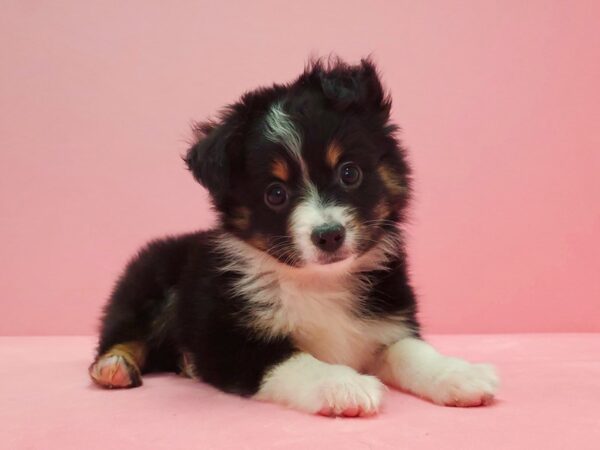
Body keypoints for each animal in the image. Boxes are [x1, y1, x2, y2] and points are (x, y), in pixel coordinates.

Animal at [89, 58, 500, 416]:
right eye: (275, 194)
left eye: (349, 173)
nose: (329, 236)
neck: (320, 282)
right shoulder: (231, 340)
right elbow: (294, 358)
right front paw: (343, 384)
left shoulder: (387, 323)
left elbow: (411, 351)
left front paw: (459, 373)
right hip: (147, 284)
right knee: (121, 332)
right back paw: (114, 365)